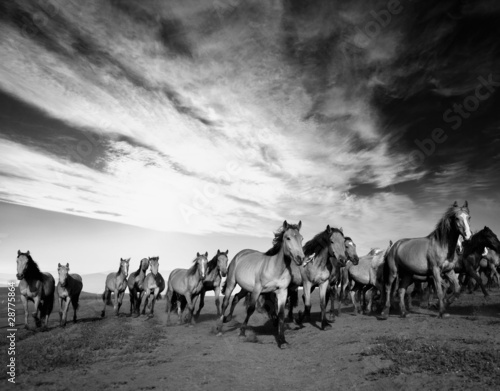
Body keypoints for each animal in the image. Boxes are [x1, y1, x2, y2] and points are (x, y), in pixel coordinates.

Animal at [218, 220, 304, 350]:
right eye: (288, 238)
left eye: (301, 238)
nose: (301, 258)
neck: (276, 268)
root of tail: (240, 254)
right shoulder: (257, 290)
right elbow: (250, 309)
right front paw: (242, 332)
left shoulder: (282, 292)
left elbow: (281, 314)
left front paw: (282, 341)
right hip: (231, 283)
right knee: (225, 302)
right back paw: (219, 327)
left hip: (245, 288)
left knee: (236, 297)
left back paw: (227, 318)